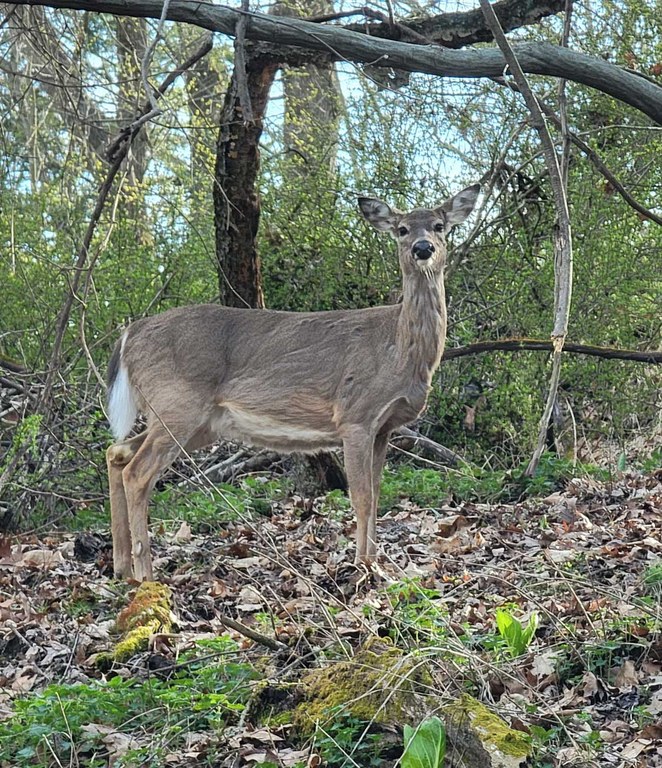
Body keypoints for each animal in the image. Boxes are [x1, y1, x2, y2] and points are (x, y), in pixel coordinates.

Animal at [107, 184, 482, 584]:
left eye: (440, 225)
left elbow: (378, 493)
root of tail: (129, 334)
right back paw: (146, 574)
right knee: (137, 472)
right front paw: (364, 567)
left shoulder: (384, 427)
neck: (398, 350)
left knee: (117, 452)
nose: (423, 248)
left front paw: (376, 563)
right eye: (402, 229)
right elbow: (362, 496)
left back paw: (122, 567)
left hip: (194, 422)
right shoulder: (356, 415)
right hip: (176, 405)